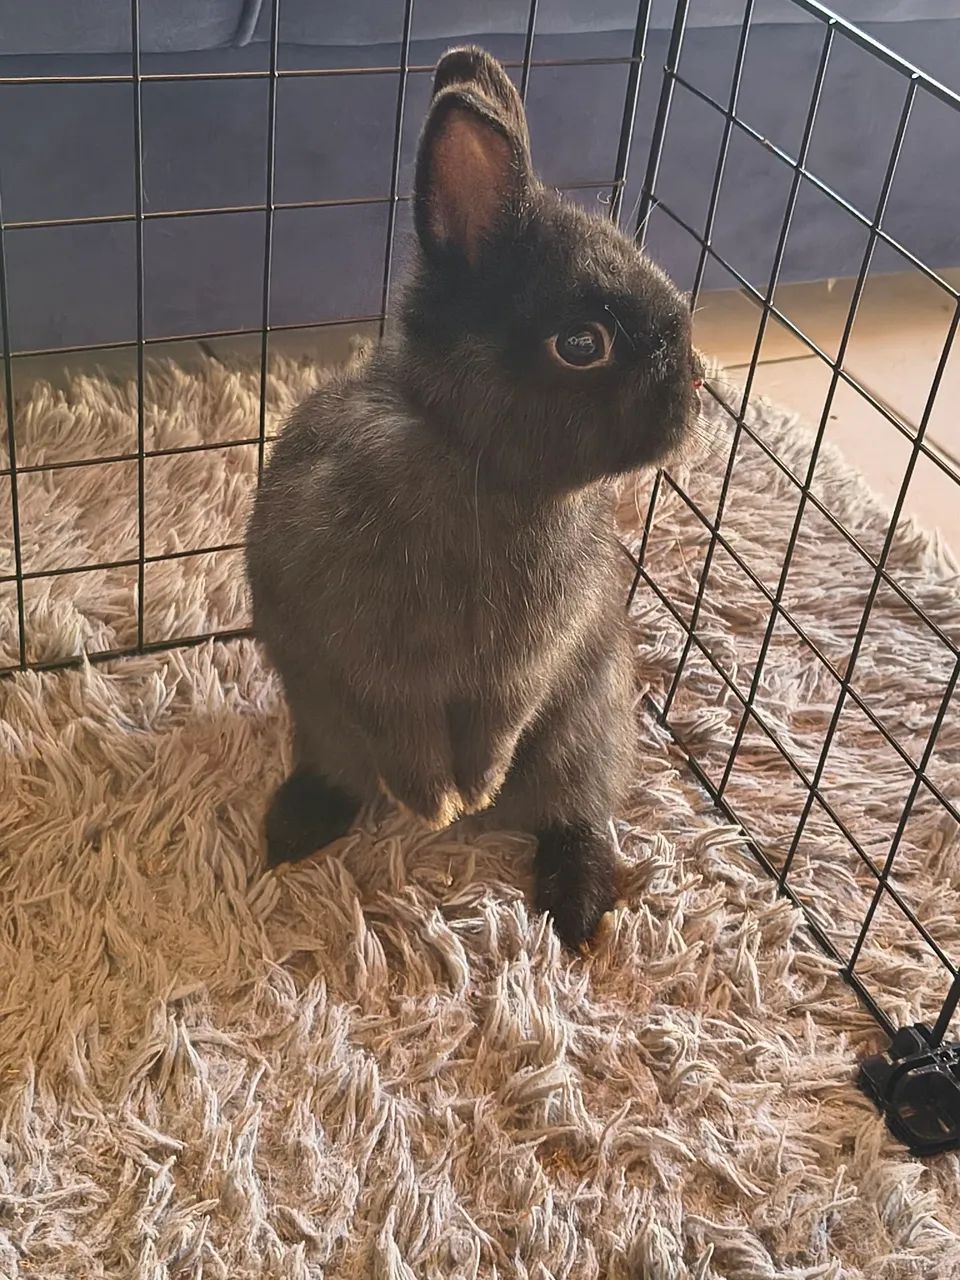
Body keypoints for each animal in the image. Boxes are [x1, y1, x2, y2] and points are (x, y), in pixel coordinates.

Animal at [245, 46, 701, 949]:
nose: (698, 386)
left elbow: (498, 719)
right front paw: (436, 803)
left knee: (578, 815)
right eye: (582, 344)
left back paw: (575, 912)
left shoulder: (527, 664)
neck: (468, 456)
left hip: (587, 731)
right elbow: (406, 730)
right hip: (320, 719)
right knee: (344, 767)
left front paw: (477, 788)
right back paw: (293, 832)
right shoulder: (373, 664)